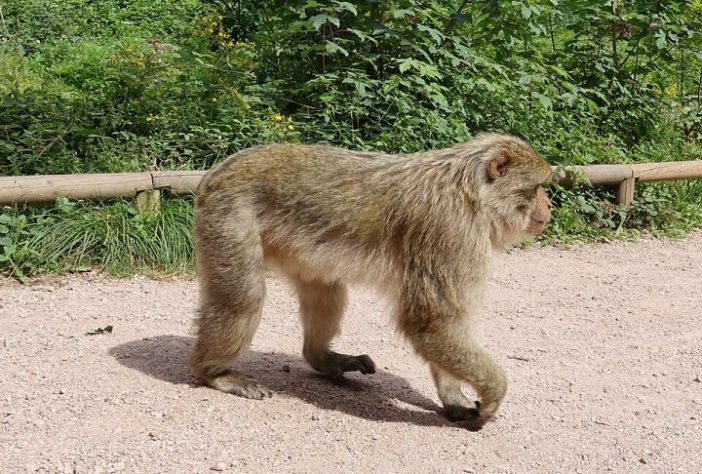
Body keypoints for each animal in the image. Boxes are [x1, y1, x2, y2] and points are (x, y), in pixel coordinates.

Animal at [189, 133, 553, 430]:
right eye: (535, 188)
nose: (548, 205)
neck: (472, 195)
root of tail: (216, 173)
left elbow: (442, 324)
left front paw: (453, 396)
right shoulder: (452, 234)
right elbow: (433, 324)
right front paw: (493, 392)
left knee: (325, 290)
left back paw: (320, 357)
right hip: (228, 217)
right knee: (243, 298)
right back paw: (215, 372)